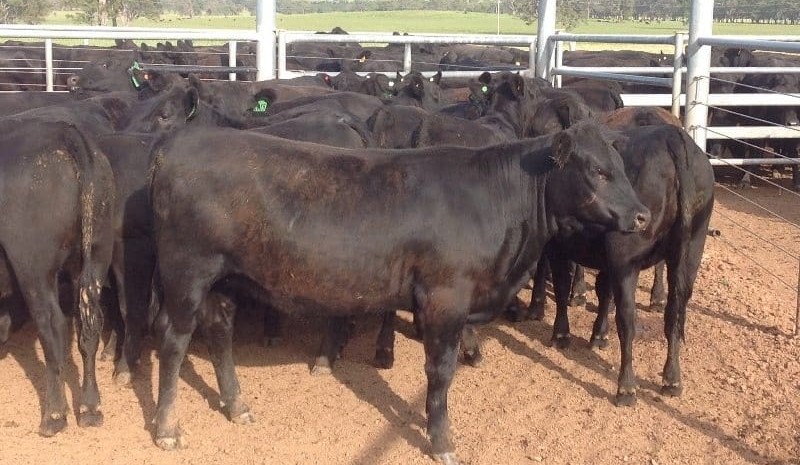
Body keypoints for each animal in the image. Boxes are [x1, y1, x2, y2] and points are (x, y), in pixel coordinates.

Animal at [147, 120, 650, 463]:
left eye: (622, 168)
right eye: (598, 171)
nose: (643, 215)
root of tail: (179, 142)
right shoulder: (446, 300)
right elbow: (440, 375)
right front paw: (442, 440)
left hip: (225, 280)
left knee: (220, 333)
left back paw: (237, 405)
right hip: (187, 275)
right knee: (173, 343)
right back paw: (167, 427)